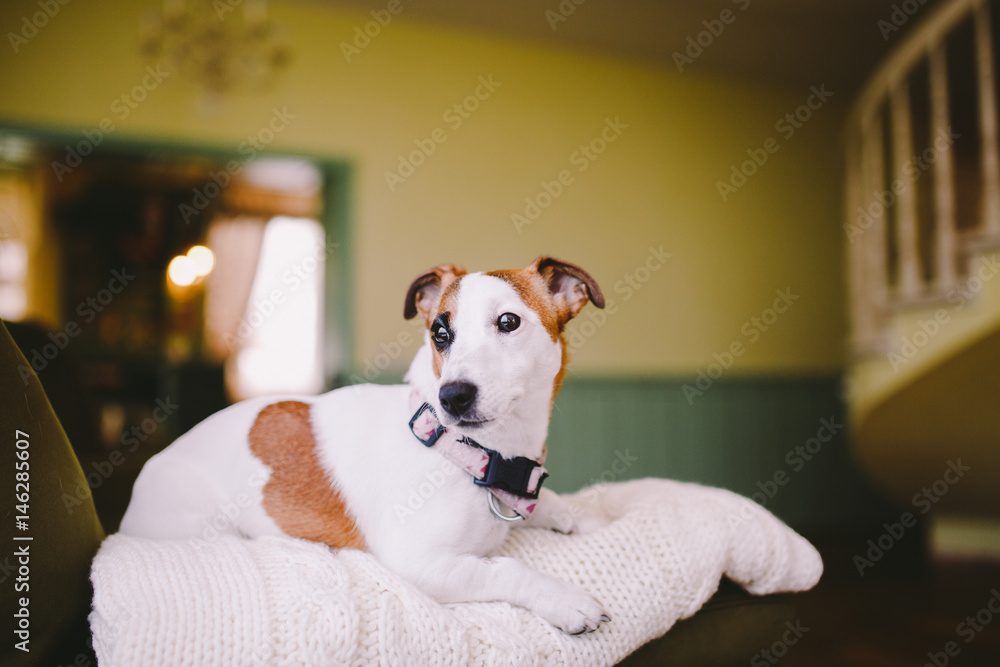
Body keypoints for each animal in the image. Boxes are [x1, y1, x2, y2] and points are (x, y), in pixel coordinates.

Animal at [122, 256, 612, 636]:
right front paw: (563, 598)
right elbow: (507, 569)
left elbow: (550, 503)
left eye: (508, 322)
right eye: (440, 333)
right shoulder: (420, 562)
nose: (452, 396)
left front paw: (583, 517)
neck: (471, 453)